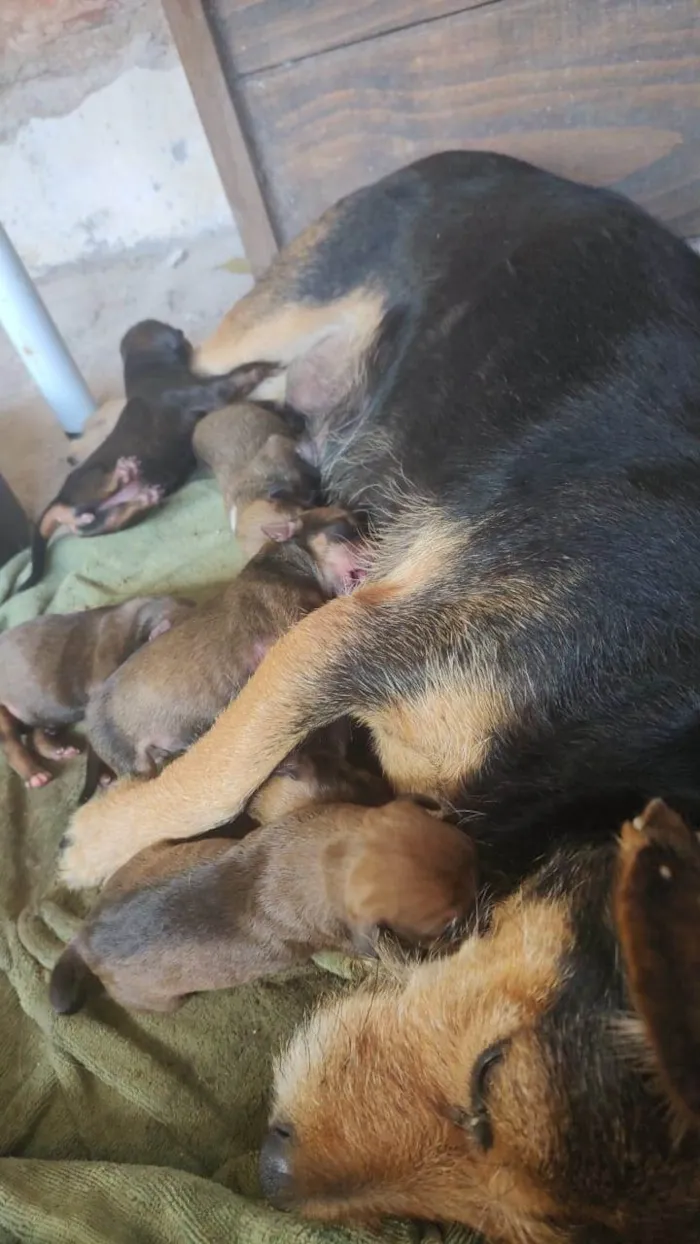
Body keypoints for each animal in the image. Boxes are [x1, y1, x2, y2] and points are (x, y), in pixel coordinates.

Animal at [19, 320, 277, 592]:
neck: (146, 371)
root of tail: (59, 499)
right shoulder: (208, 391)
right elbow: (238, 375)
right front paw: (265, 366)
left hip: (103, 524)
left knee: (108, 518)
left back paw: (144, 497)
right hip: (93, 476)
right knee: (106, 485)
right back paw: (123, 473)